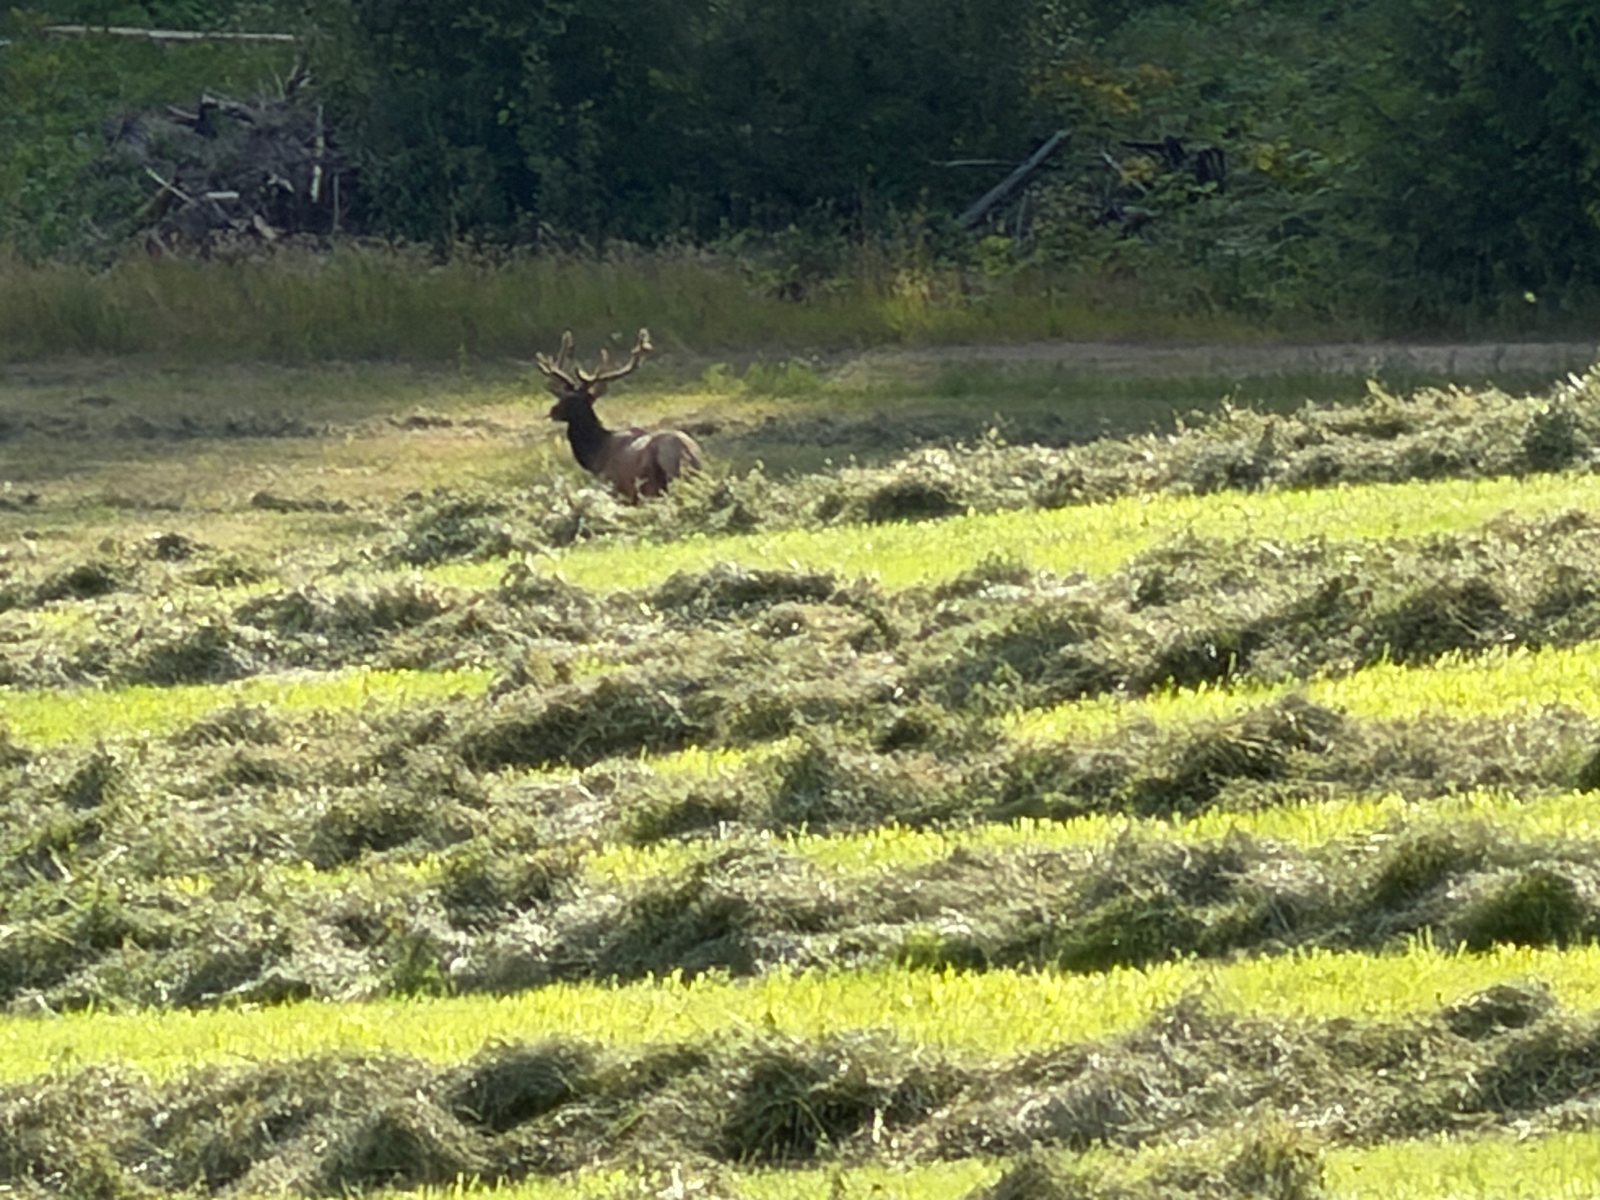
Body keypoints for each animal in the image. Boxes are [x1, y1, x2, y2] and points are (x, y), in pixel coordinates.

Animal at [534, 328, 704, 503]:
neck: (596, 456)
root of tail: (688, 455)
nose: (553, 411)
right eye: (562, 396)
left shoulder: (616, 488)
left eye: (576, 400)